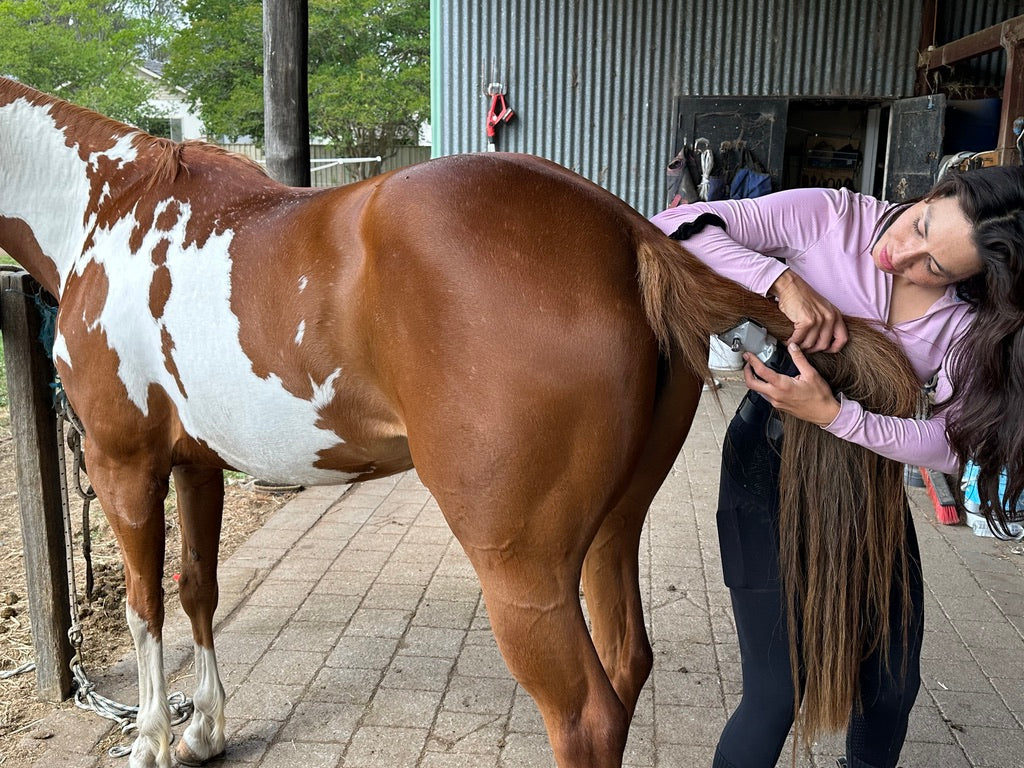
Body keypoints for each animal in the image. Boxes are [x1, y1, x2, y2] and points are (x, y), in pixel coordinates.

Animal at [0, 79, 921, 768]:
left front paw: (153, 739)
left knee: (585, 716)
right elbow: (198, 589)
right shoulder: (194, 462)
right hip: (614, 531)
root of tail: (628, 232)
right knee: (626, 666)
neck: (108, 204)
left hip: (521, 569)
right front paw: (203, 731)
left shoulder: (122, 462)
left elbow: (144, 605)